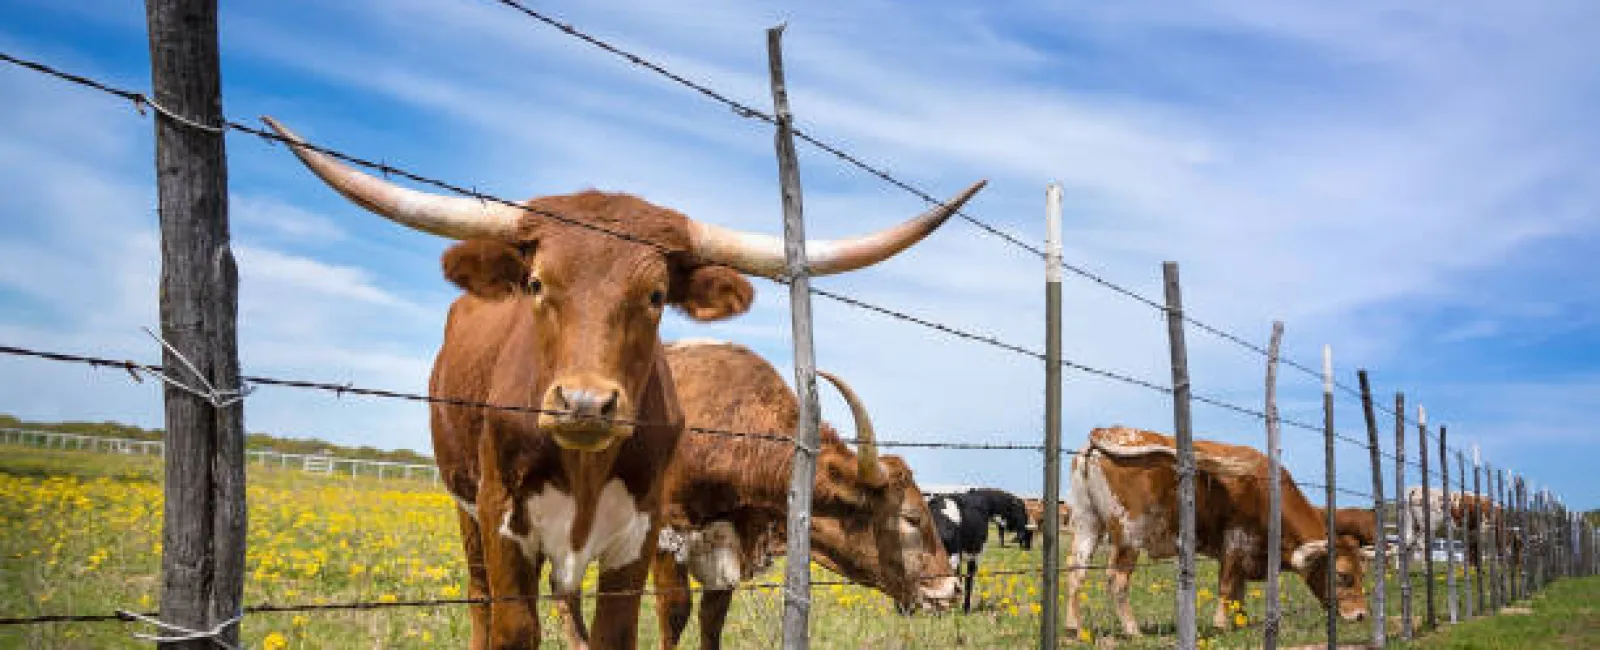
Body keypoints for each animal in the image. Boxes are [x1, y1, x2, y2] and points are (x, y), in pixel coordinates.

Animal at [643, 340, 959, 649]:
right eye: (911, 518)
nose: (952, 587)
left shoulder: (728, 553)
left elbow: (712, 619)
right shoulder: (667, 535)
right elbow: (675, 612)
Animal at [1065, 426, 1368, 637]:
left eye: (1362, 574)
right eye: (1343, 576)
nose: (1361, 615)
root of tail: (1108, 430)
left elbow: (1238, 590)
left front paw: (1241, 622)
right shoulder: (1235, 540)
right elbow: (1226, 585)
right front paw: (1221, 625)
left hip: (1086, 523)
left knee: (1076, 573)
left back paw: (1074, 629)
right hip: (1129, 534)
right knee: (1116, 580)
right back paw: (1133, 630)